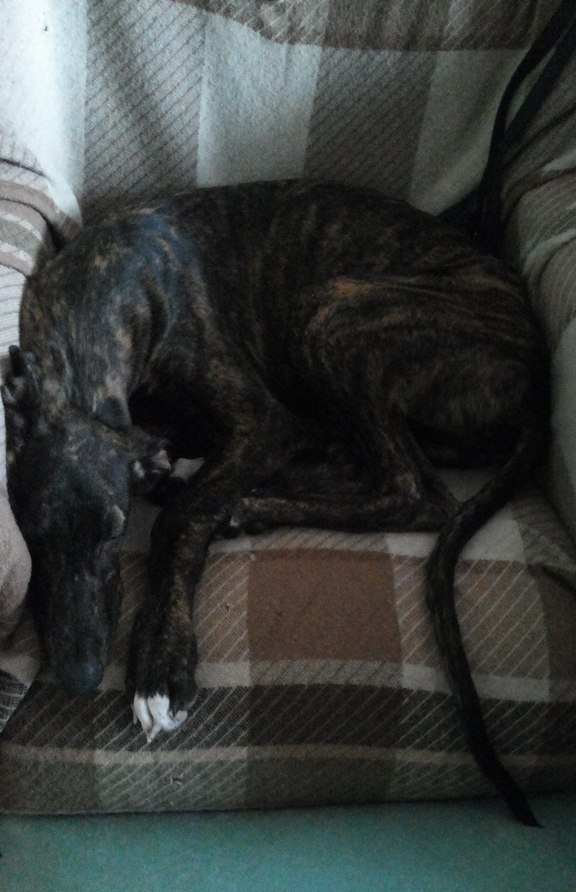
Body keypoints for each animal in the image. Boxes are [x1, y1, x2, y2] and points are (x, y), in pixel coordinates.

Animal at [2, 180, 548, 824]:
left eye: (115, 531)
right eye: (31, 535)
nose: (81, 677)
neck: (91, 311)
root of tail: (538, 373)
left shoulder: (263, 422)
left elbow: (180, 517)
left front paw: (161, 661)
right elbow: (174, 471)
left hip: (332, 311)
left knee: (417, 492)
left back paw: (252, 503)